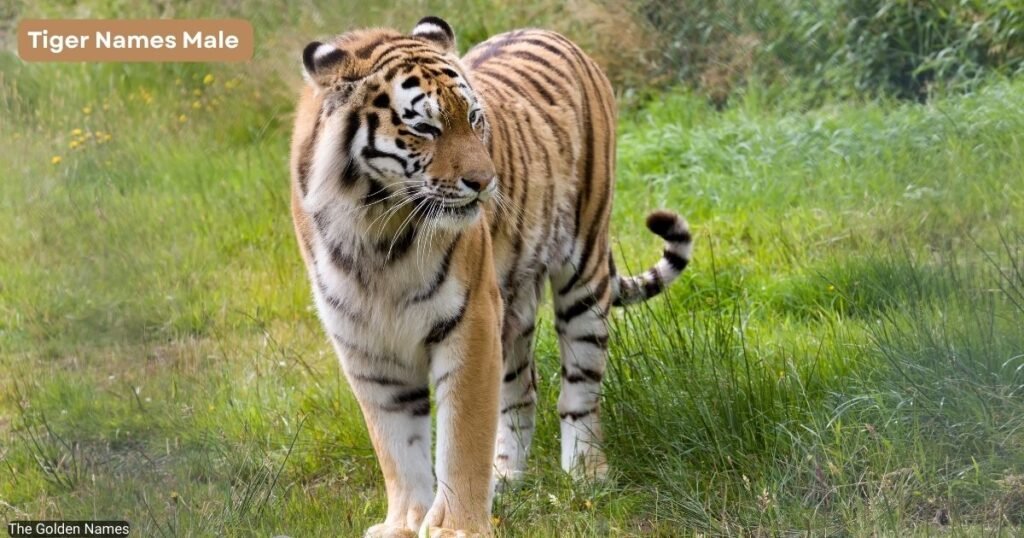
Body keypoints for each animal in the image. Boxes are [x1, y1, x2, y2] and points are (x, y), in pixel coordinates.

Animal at [289, 16, 692, 537]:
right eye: (425, 128)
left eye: (475, 119)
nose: (485, 182)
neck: (377, 229)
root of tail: (550, 31)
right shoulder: (364, 344)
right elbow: (397, 445)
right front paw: (407, 522)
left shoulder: (469, 320)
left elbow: (462, 438)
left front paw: (457, 527)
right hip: (513, 308)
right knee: (522, 392)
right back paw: (507, 476)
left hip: (582, 271)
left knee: (579, 389)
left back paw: (586, 473)